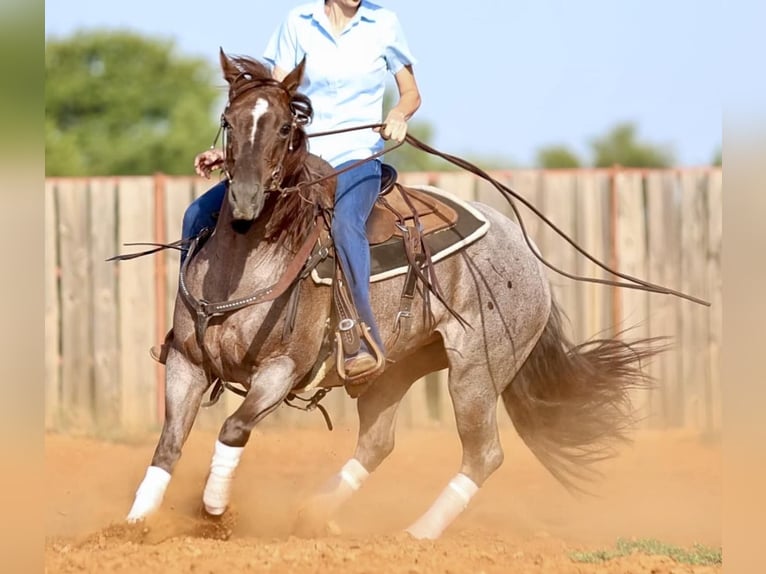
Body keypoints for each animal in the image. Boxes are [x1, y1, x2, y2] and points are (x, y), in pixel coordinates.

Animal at [127, 51, 664, 544]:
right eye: (229, 120)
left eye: (283, 127)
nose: (244, 198)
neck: (246, 263)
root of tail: (525, 254)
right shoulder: (186, 362)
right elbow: (168, 443)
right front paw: (135, 523)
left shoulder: (281, 369)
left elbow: (234, 428)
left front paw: (214, 509)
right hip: (398, 367)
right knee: (378, 443)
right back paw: (314, 515)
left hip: (476, 372)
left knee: (483, 454)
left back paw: (418, 534)